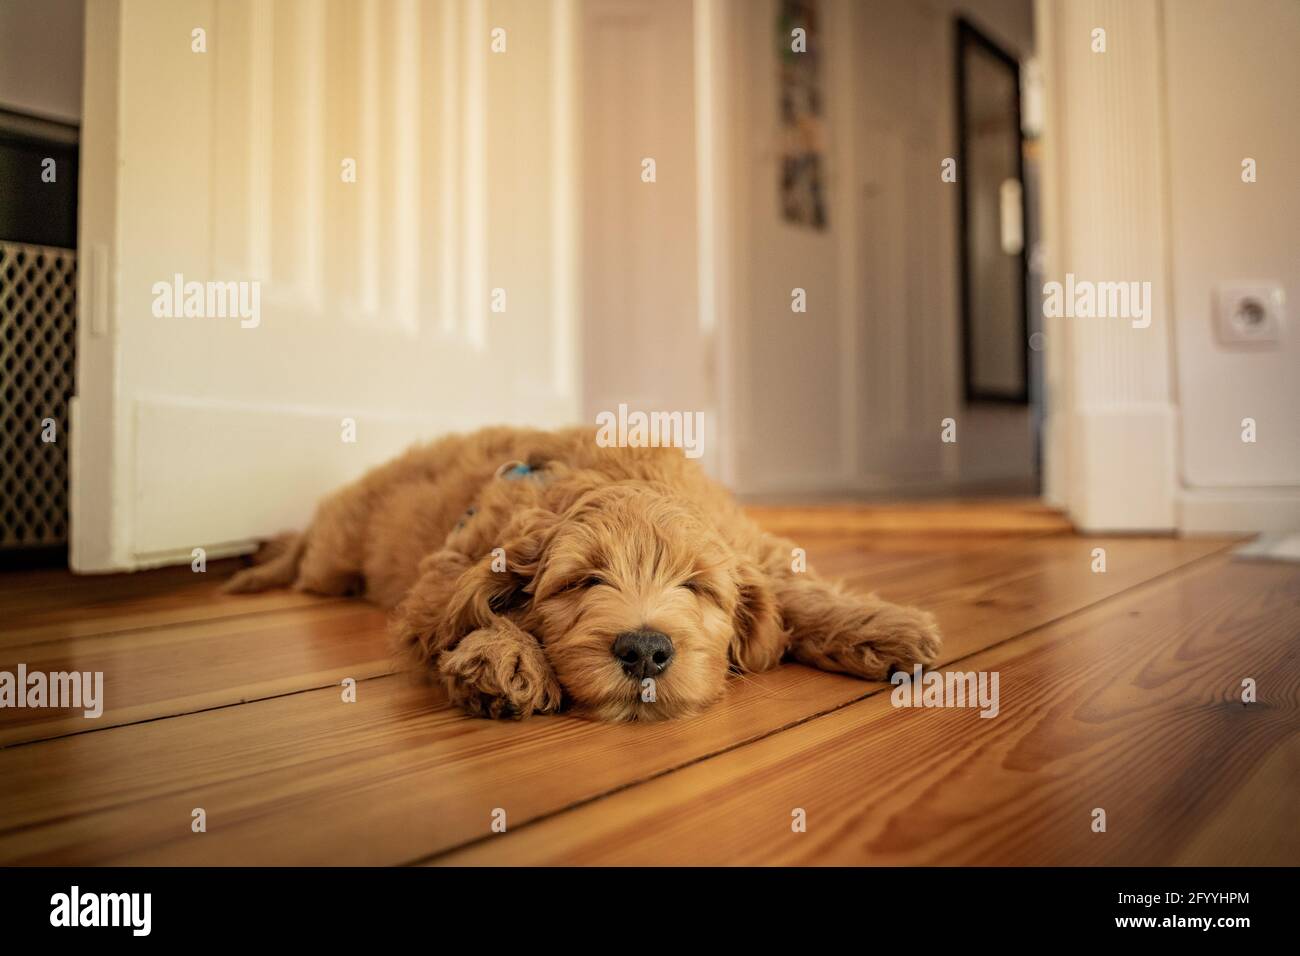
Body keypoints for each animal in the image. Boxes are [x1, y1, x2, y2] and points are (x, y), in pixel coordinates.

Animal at [228, 421, 941, 723]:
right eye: (580, 583)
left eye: (697, 586)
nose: (646, 650)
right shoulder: (447, 573)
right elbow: (462, 612)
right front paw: (504, 659)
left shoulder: (746, 544)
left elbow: (795, 590)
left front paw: (885, 629)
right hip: (334, 556)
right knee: (307, 553)